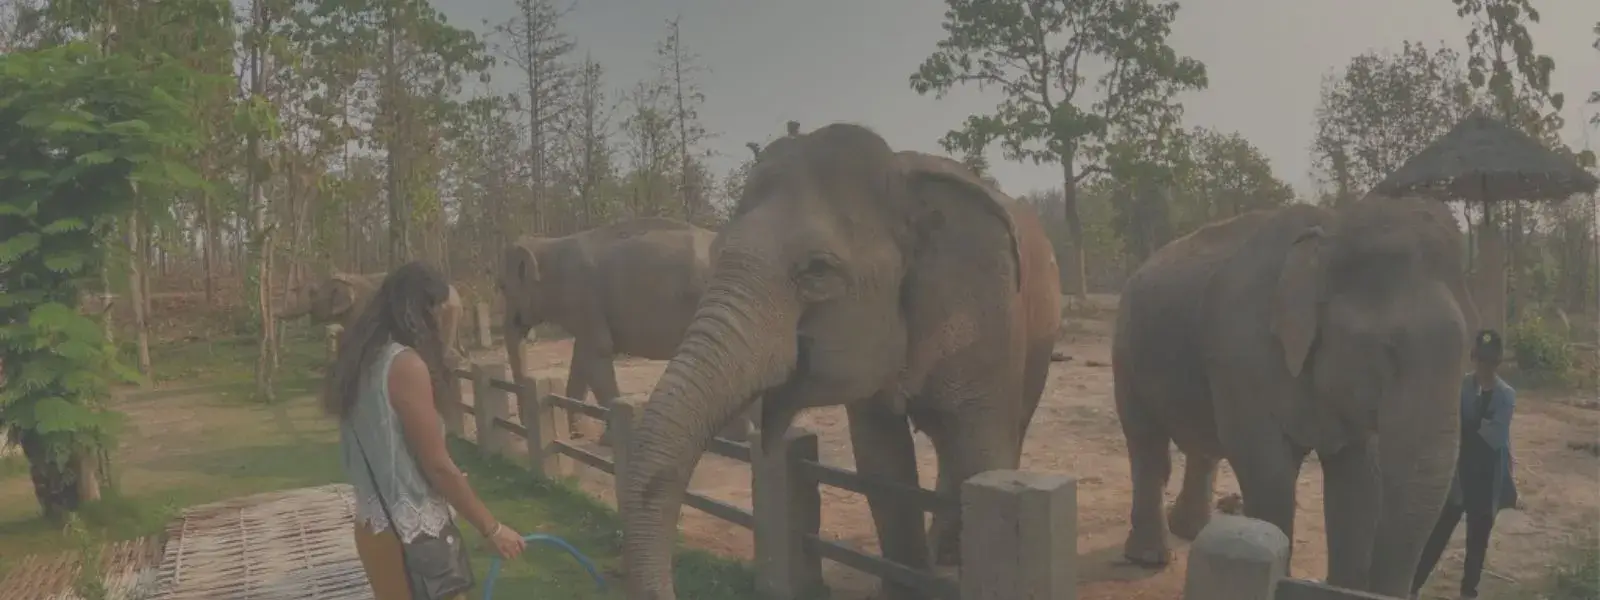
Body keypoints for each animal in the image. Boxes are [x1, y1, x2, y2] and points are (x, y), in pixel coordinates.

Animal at [496, 217, 757, 441]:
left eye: (502, 287)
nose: (523, 423)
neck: (546, 245)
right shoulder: (587, 313)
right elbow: (582, 359)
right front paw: (579, 434)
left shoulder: (582, 299)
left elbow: (598, 353)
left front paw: (610, 439)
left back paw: (735, 436)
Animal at [614, 123, 1062, 600]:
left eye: (817, 271)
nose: (674, 585)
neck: (902, 178)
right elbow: (880, 462)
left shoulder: (989, 319)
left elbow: (983, 453)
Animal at [1111, 195, 1477, 596]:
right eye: (1386, 350)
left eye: (1468, 352)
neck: (1333, 230)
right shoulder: (1240, 350)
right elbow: (1267, 469)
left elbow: (1359, 478)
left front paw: (1342, 588)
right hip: (1126, 349)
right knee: (1147, 445)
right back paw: (1149, 557)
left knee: (1202, 446)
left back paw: (1190, 531)